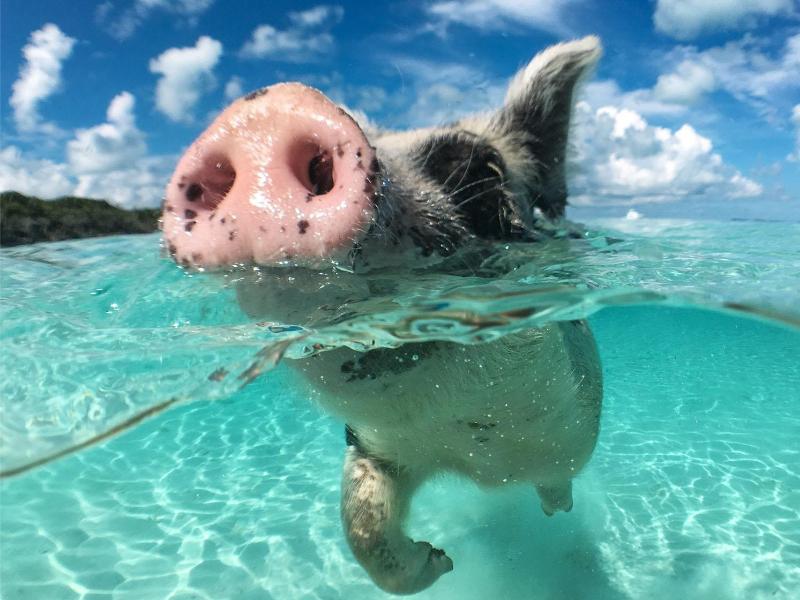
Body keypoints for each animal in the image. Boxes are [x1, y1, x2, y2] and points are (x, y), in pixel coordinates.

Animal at [162, 36, 603, 595]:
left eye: (481, 170)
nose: (264, 113)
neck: (475, 455)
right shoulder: (374, 447)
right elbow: (362, 525)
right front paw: (441, 561)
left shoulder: (566, 432)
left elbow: (557, 479)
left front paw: (469, 549)